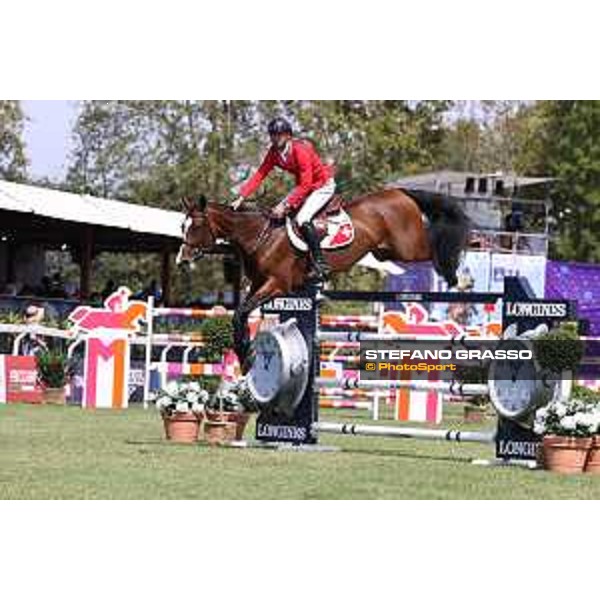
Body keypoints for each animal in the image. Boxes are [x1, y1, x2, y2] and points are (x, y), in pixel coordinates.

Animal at [177, 188, 468, 370]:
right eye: (183, 226)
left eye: (197, 226)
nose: (182, 259)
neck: (260, 236)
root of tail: (399, 192)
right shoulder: (258, 285)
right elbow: (239, 313)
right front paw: (244, 354)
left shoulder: (276, 285)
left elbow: (241, 312)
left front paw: (247, 355)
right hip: (385, 251)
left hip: (408, 247)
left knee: (437, 246)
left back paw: (457, 273)